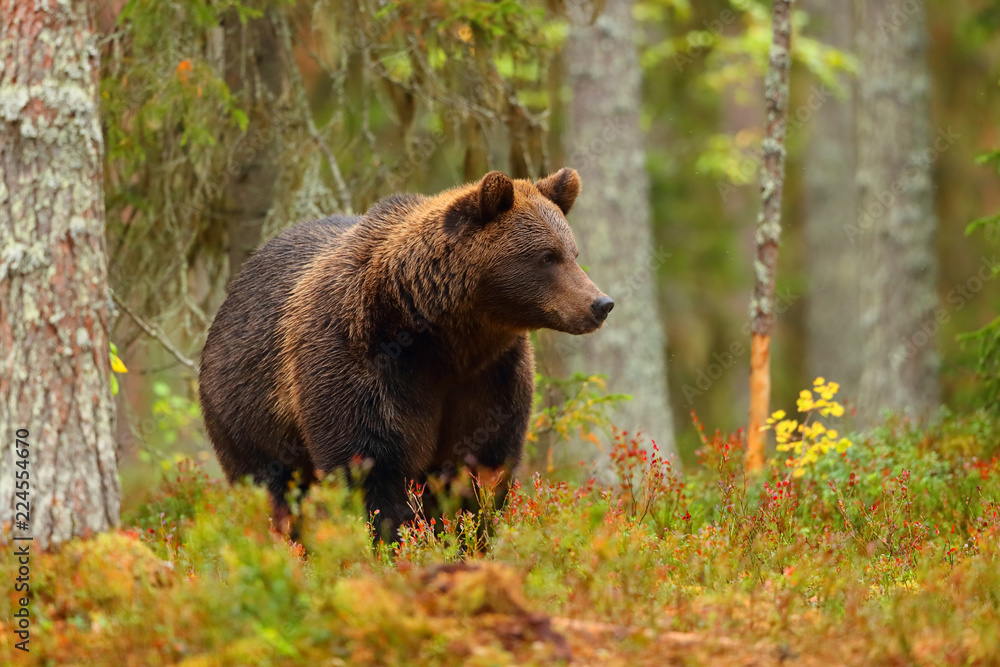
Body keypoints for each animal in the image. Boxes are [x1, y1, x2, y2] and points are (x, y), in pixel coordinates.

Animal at [199, 168, 614, 540]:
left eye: (573, 252)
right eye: (547, 256)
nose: (600, 304)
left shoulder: (490, 376)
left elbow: (481, 468)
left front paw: (467, 538)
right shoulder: (363, 363)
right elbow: (372, 466)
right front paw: (394, 542)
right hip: (247, 413)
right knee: (275, 490)